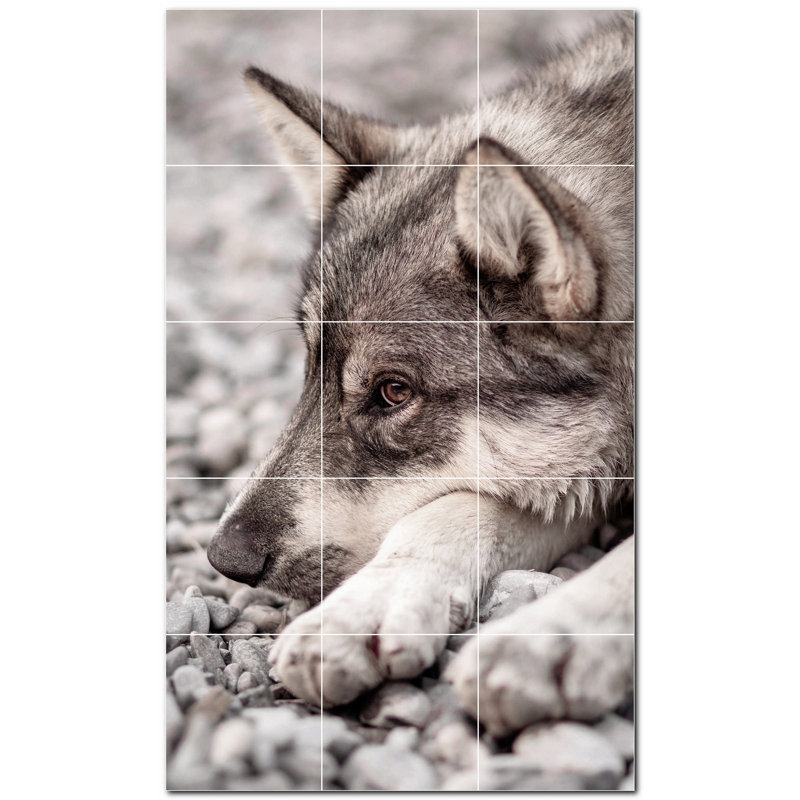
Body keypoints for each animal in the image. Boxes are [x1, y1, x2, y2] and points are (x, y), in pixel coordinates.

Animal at [207, 13, 634, 737]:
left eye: (392, 392)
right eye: (310, 367)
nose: (223, 559)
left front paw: (552, 635)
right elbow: (448, 510)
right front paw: (364, 608)